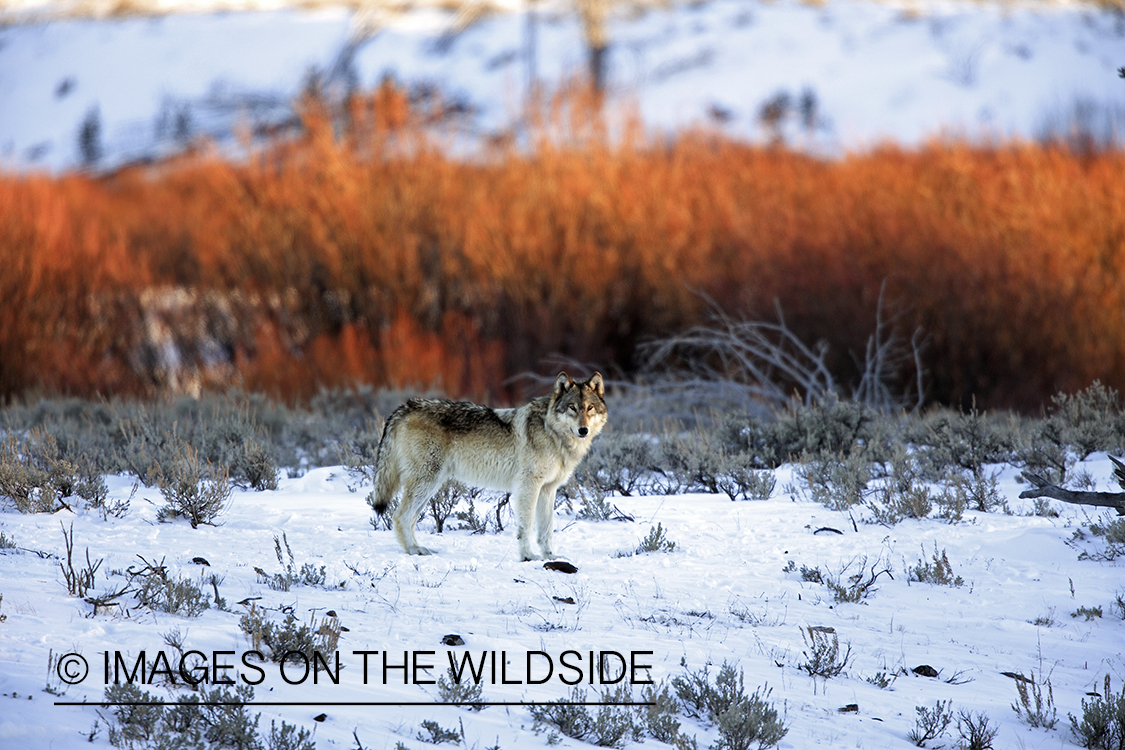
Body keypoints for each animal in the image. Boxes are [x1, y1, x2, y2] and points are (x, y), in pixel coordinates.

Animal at [368, 372, 607, 561]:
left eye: (590, 408)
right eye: (572, 408)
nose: (583, 430)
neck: (552, 433)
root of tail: (406, 406)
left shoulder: (548, 489)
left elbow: (546, 530)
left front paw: (550, 557)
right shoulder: (528, 486)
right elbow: (527, 525)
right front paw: (528, 556)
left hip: (430, 487)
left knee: (409, 519)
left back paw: (418, 547)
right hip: (426, 482)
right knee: (400, 516)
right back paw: (413, 550)